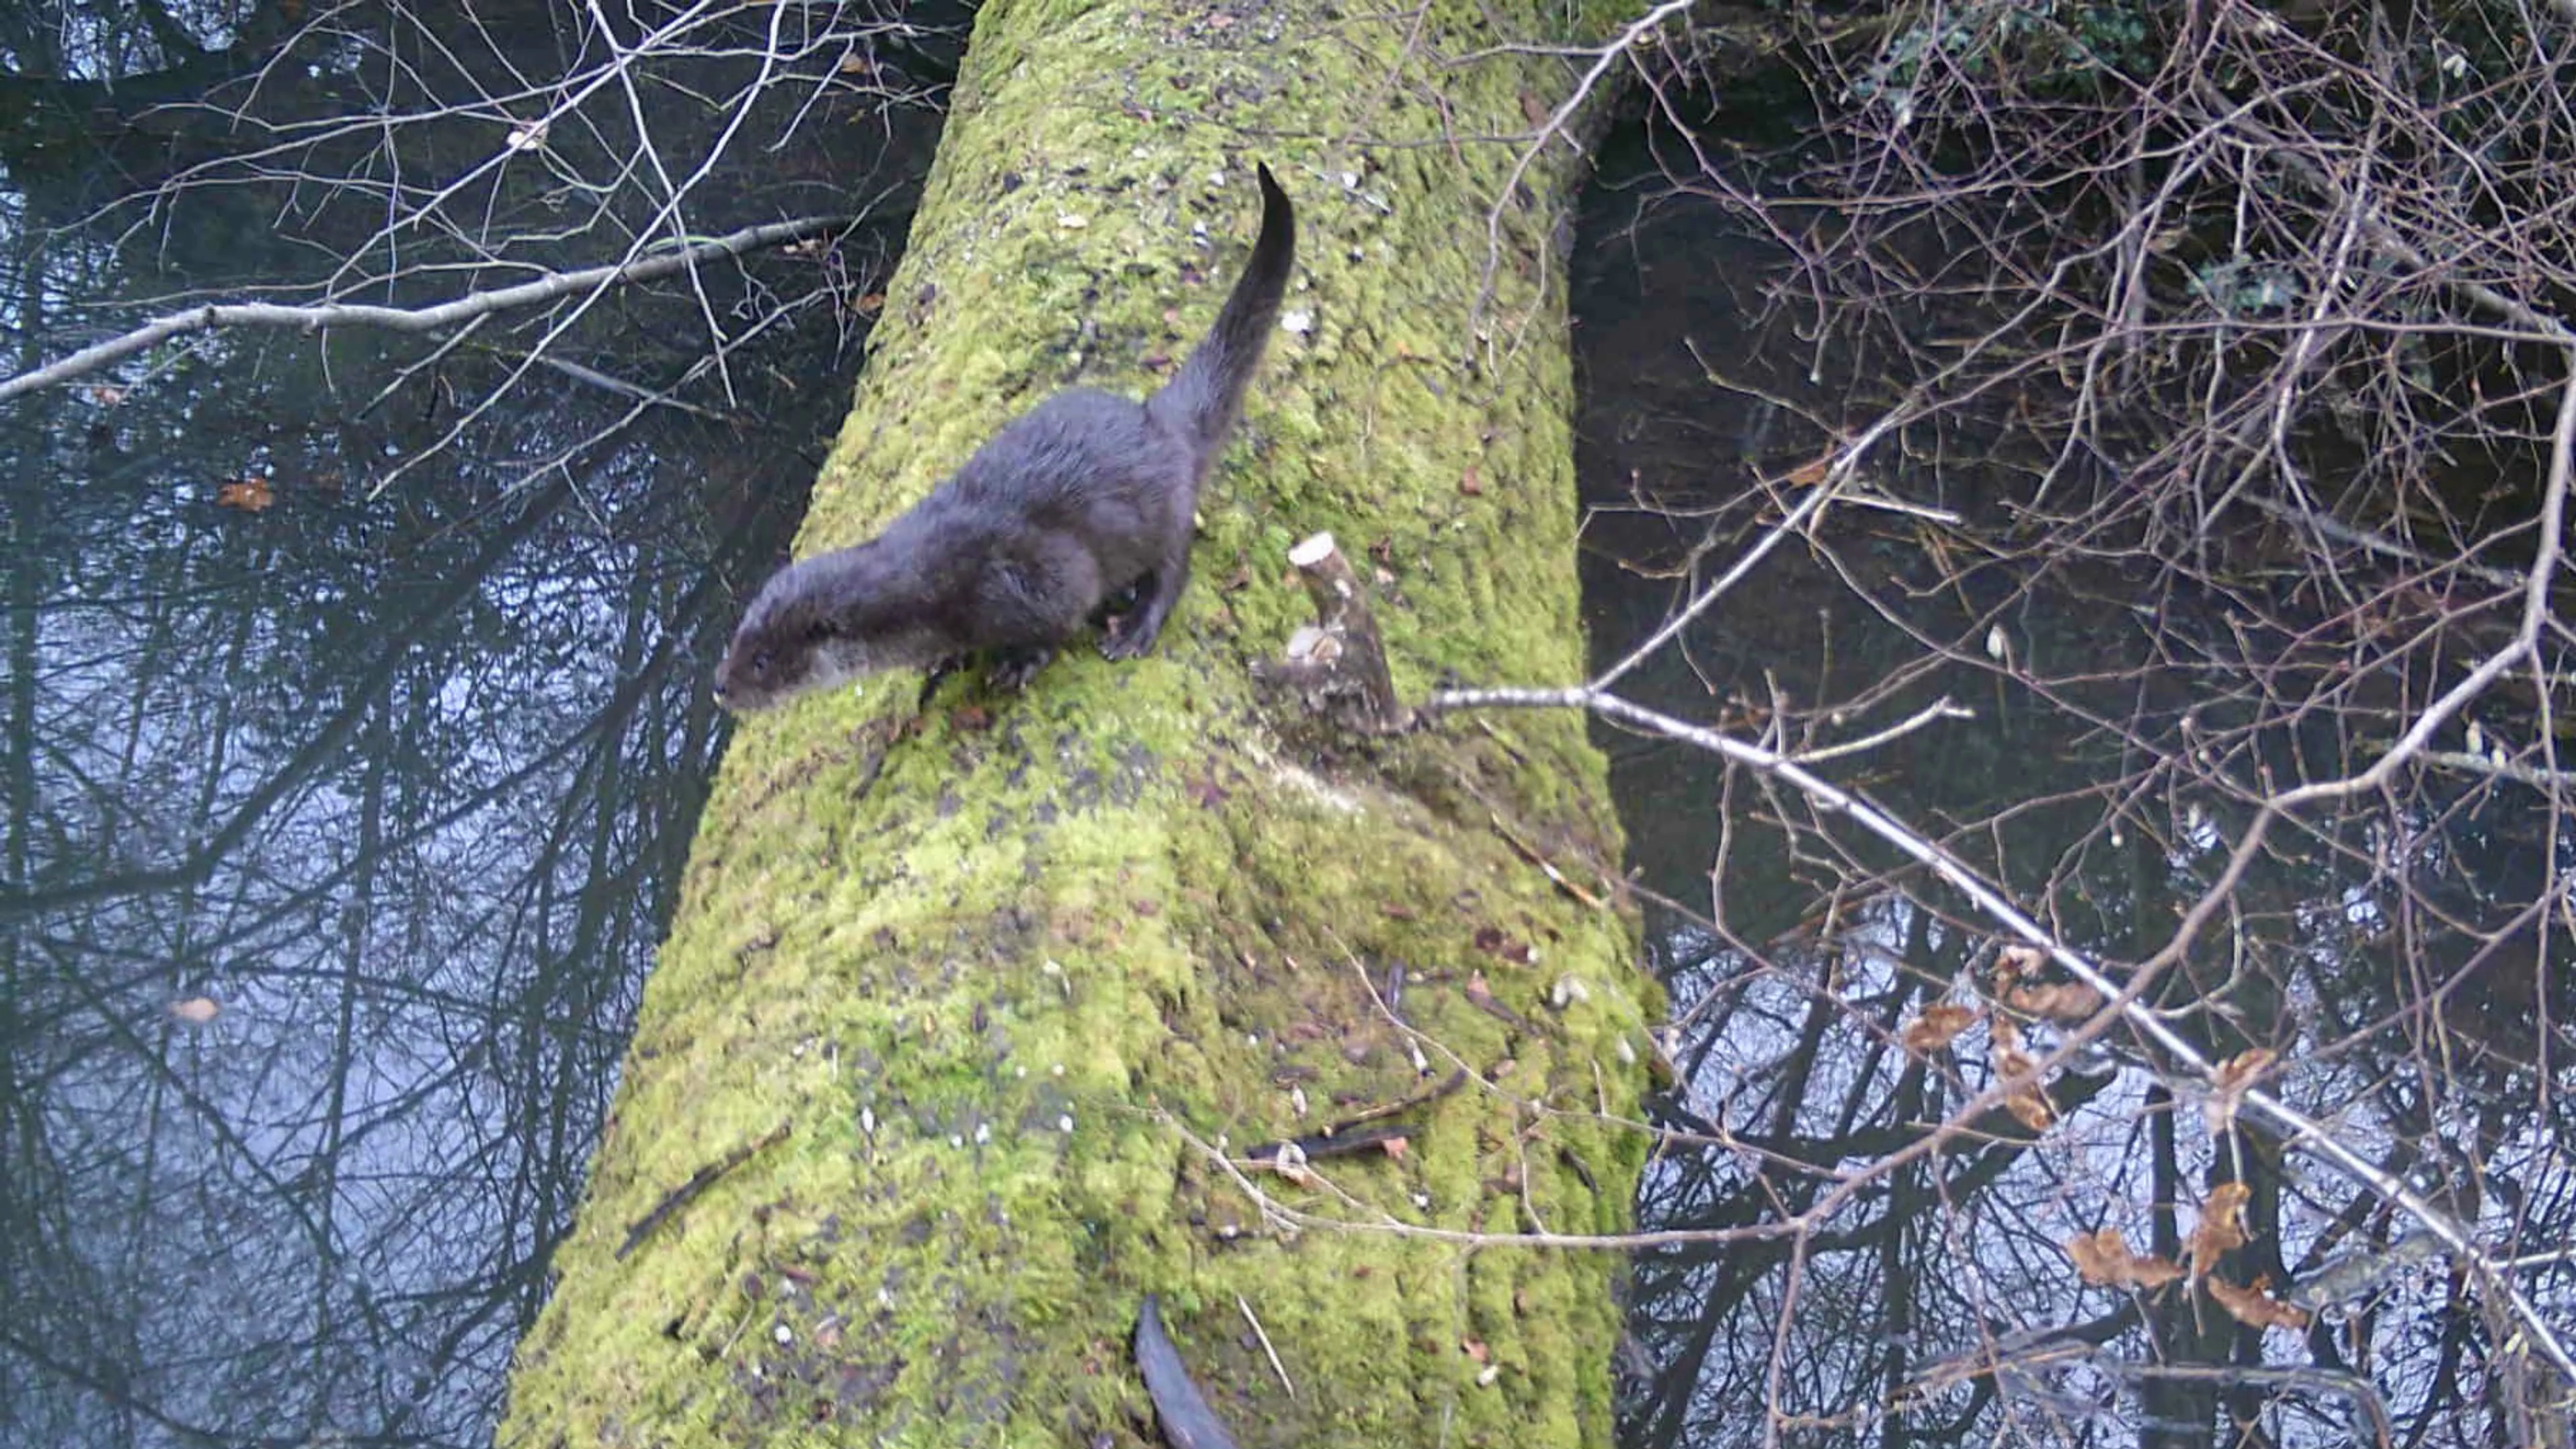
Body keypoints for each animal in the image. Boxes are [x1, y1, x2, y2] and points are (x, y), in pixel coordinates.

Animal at [716, 166, 1298, 706]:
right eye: (736, 641)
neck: (925, 594)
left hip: (1161, 508)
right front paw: (945, 660)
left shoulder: (1028, 580)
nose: (721, 686)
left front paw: (1018, 663)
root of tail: (1159, 419)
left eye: (763, 661)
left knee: (1174, 569)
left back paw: (1135, 629)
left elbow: (1063, 613)